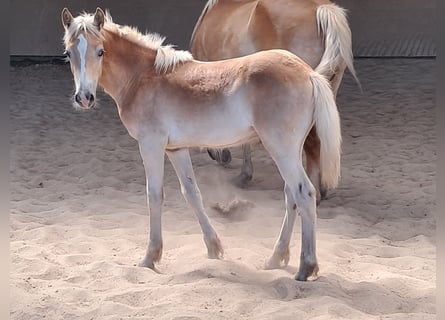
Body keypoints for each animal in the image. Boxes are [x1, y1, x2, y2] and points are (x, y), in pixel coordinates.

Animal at [60, 6, 342, 280]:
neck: (143, 76)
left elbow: (154, 195)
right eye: (68, 54)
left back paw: (306, 267)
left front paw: (150, 257)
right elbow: (192, 193)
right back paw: (275, 258)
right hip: (289, 151)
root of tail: (309, 73)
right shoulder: (176, 149)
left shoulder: (151, 144)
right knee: (290, 195)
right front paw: (214, 248)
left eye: (100, 51)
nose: (84, 98)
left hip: (281, 149)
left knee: (304, 193)